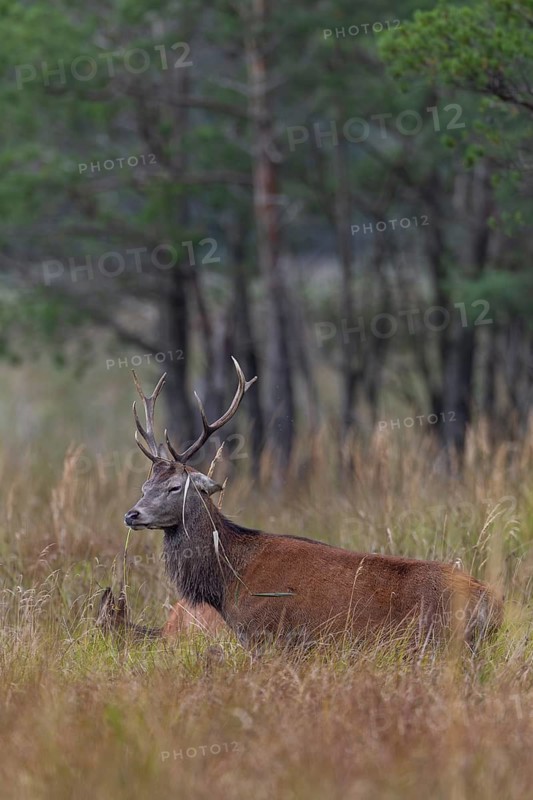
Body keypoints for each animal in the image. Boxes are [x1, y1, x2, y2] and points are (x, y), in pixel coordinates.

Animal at [104, 357, 502, 651]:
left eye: (175, 487)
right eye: (145, 484)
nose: (131, 513)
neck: (228, 581)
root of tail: (494, 607)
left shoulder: (268, 636)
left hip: (433, 643)